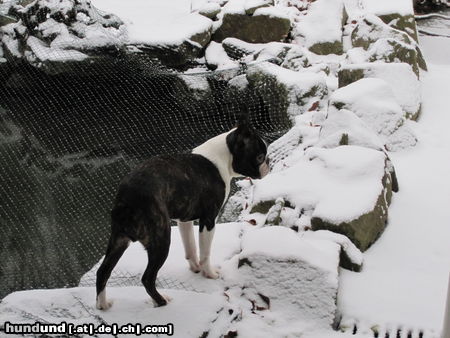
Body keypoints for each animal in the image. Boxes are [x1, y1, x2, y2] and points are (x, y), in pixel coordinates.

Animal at [95, 115, 268, 308]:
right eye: (260, 157)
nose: (268, 163)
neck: (223, 156)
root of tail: (127, 198)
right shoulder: (208, 219)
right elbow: (205, 251)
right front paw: (209, 273)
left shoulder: (184, 220)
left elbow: (190, 247)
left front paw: (196, 268)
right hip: (161, 239)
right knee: (147, 278)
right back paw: (162, 301)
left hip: (119, 239)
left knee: (103, 272)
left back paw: (103, 305)